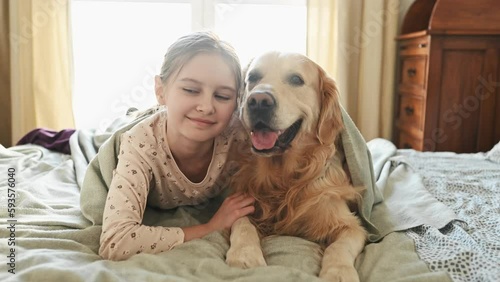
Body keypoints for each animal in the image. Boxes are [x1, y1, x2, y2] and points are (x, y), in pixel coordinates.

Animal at [227, 51, 368, 282]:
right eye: (252, 78)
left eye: (296, 79)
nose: (258, 101)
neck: (284, 179)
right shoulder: (242, 200)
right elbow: (242, 223)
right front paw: (244, 254)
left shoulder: (349, 224)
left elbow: (339, 247)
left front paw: (338, 272)